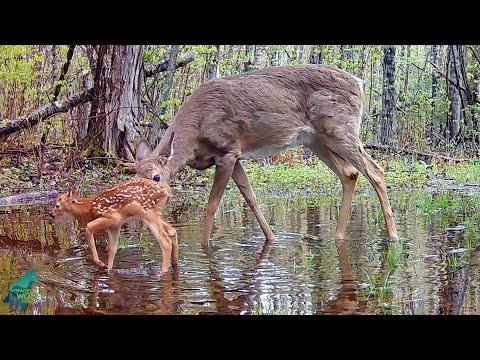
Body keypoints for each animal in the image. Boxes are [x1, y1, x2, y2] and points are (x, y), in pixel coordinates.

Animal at [134, 64, 398, 245]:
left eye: (157, 177)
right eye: (133, 178)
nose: (138, 208)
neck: (195, 133)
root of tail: (359, 83)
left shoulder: (227, 150)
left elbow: (212, 204)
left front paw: (204, 246)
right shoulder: (236, 157)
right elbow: (251, 198)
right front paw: (271, 238)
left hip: (341, 129)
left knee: (375, 171)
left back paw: (393, 236)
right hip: (316, 140)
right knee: (350, 173)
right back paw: (339, 237)